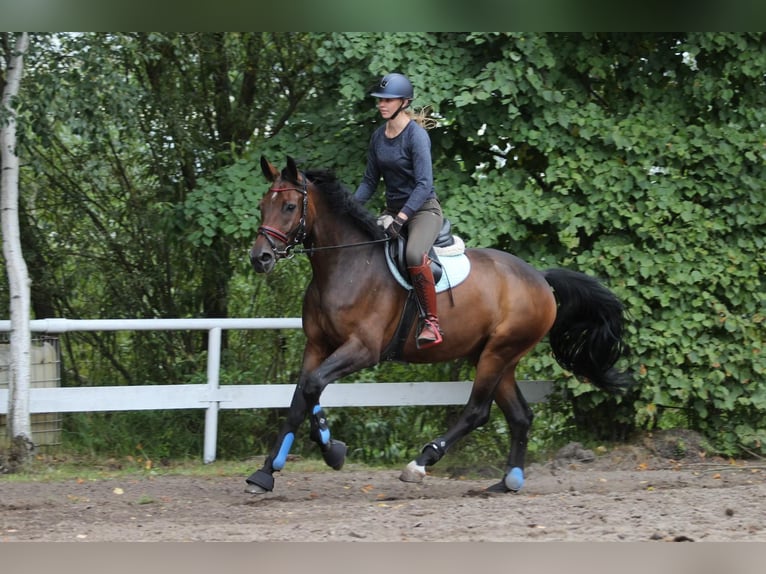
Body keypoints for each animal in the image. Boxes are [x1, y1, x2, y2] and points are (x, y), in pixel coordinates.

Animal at [248, 156, 636, 496]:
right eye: (262, 206)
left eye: (289, 207)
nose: (260, 258)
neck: (347, 264)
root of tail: (540, 278)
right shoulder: (317, 345)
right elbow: (301, 397)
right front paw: (266, 473)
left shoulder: (362, 349)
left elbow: (313, 387)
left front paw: (331, 450)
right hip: (497, 356)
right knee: (521, 416)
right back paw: (506, 483)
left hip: (498, 353)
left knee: (478, 411)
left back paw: (420, 463)